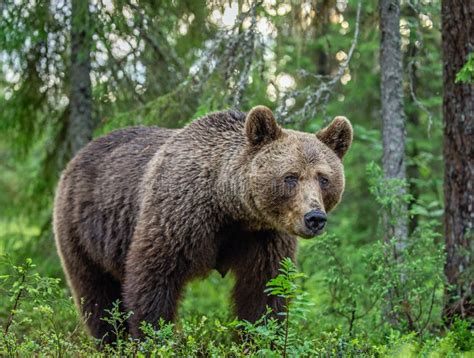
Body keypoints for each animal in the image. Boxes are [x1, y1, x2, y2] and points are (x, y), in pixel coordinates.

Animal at [53, 106, 354, 342]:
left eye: (324, 178)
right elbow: (153, 279)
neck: (229, 206)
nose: (314, 218)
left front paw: (260, 338)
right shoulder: (179, 217)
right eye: (290, 177)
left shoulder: (264, 236)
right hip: (82, 229)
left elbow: (264, 291)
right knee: (96, 296)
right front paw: (154, 338)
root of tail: (75, 158)